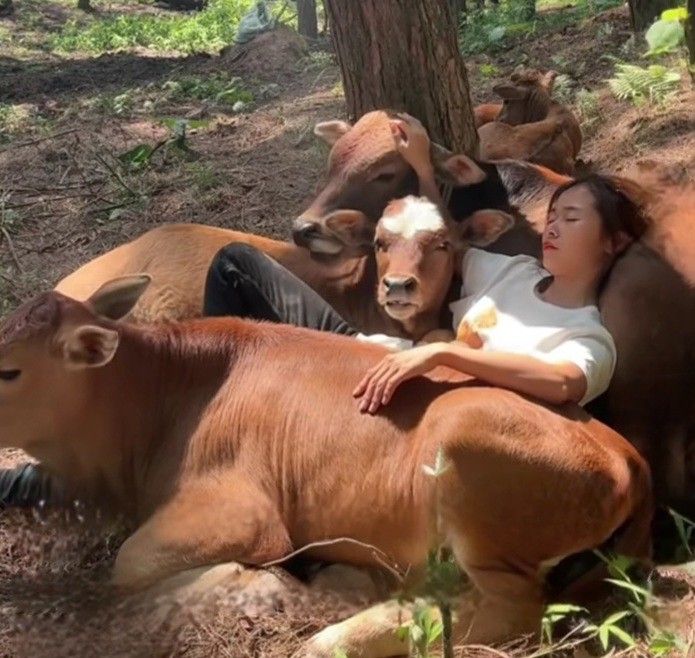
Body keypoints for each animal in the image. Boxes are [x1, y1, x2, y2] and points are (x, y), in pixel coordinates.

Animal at [0, 278, 652, 655]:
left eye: (9, 369)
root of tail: (629, 458)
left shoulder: (246, 515)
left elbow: (129, 564)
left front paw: (255, 585)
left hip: (466, 467)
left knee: (509, 610)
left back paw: (337, 633)